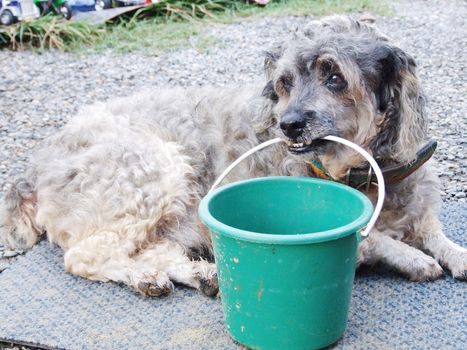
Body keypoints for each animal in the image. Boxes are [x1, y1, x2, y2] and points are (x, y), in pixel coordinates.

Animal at [0, 15, 466, 296]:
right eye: (283, 83)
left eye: (335, 77)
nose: (287, 124)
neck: (366, 171)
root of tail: (36, 165)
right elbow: (375, 239)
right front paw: (412, 257)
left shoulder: (421, 212)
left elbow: (436, 234)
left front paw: (455, 254)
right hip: (149, 170)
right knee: (86, 255)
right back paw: (143, 276)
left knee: (152, 249)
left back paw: (196, 273)